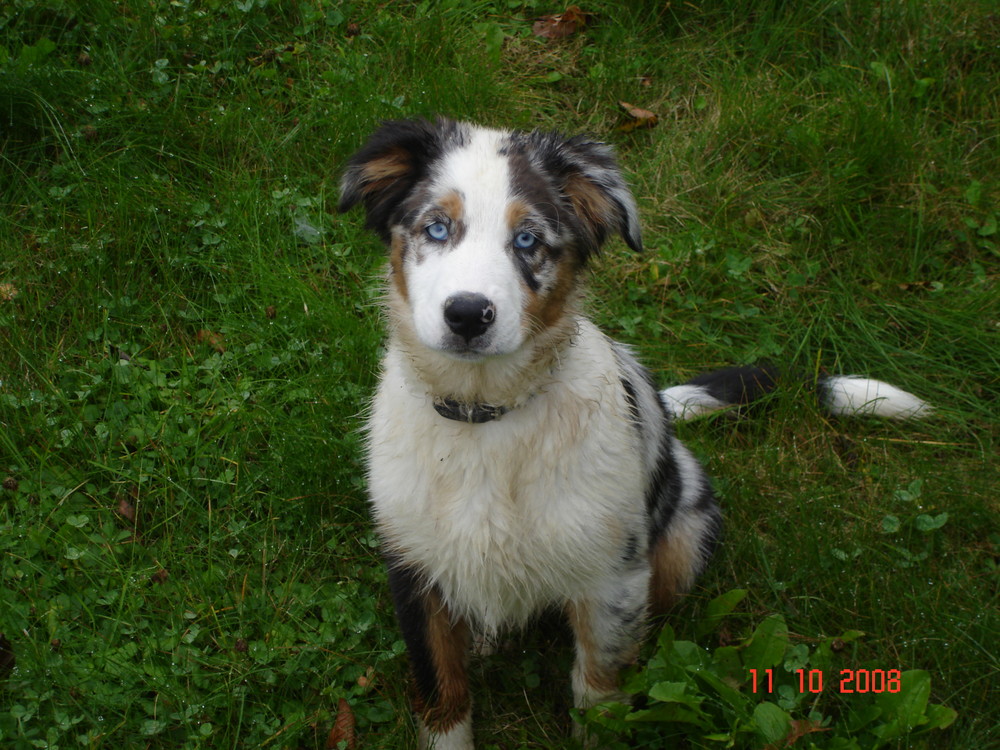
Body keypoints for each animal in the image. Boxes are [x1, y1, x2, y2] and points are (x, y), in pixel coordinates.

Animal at [338, 120, 928, 748]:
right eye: (436, 227)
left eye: (527, 240)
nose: (469, 315)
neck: (485, 416)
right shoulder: (412, 569)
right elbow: (441, 692)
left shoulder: (611, 577)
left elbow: (598, 692)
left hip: (684, 541)